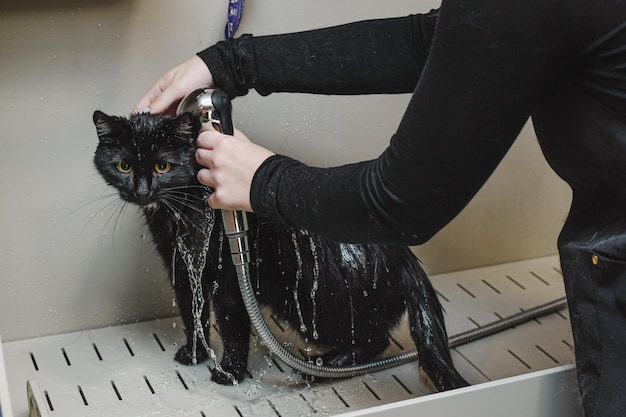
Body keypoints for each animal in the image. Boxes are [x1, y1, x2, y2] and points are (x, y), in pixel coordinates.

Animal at [90, 109, 466, 390]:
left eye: (162, 166)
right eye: (124, 166)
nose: (142, 191)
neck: (180, 211)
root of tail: (407, 258)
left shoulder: (229, 277)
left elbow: (232, 325)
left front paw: (229, 372)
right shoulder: (181, 269)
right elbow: (191, 313)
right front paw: (194, 353)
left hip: (318, 302)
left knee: (376, 338)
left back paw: (327, 363)